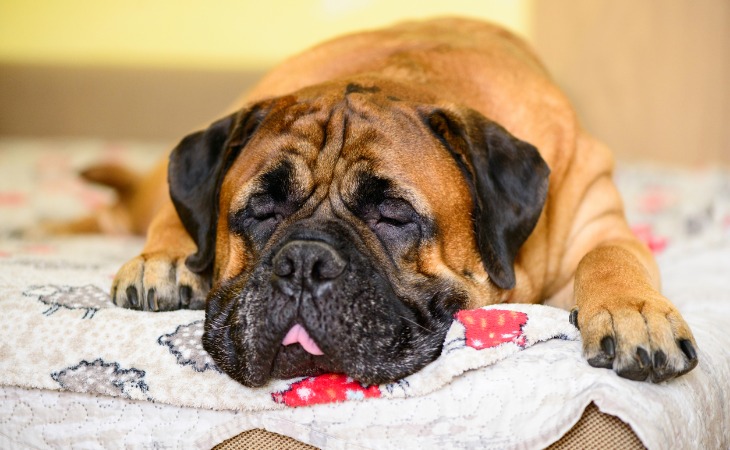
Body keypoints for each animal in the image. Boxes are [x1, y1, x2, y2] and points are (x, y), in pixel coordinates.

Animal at [69, 15, 700, 384]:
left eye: (392, 215)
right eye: (261, 211)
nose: (303, 262)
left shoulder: (597, 219)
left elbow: (611, 256)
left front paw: (636, 315)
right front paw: (166, 257)